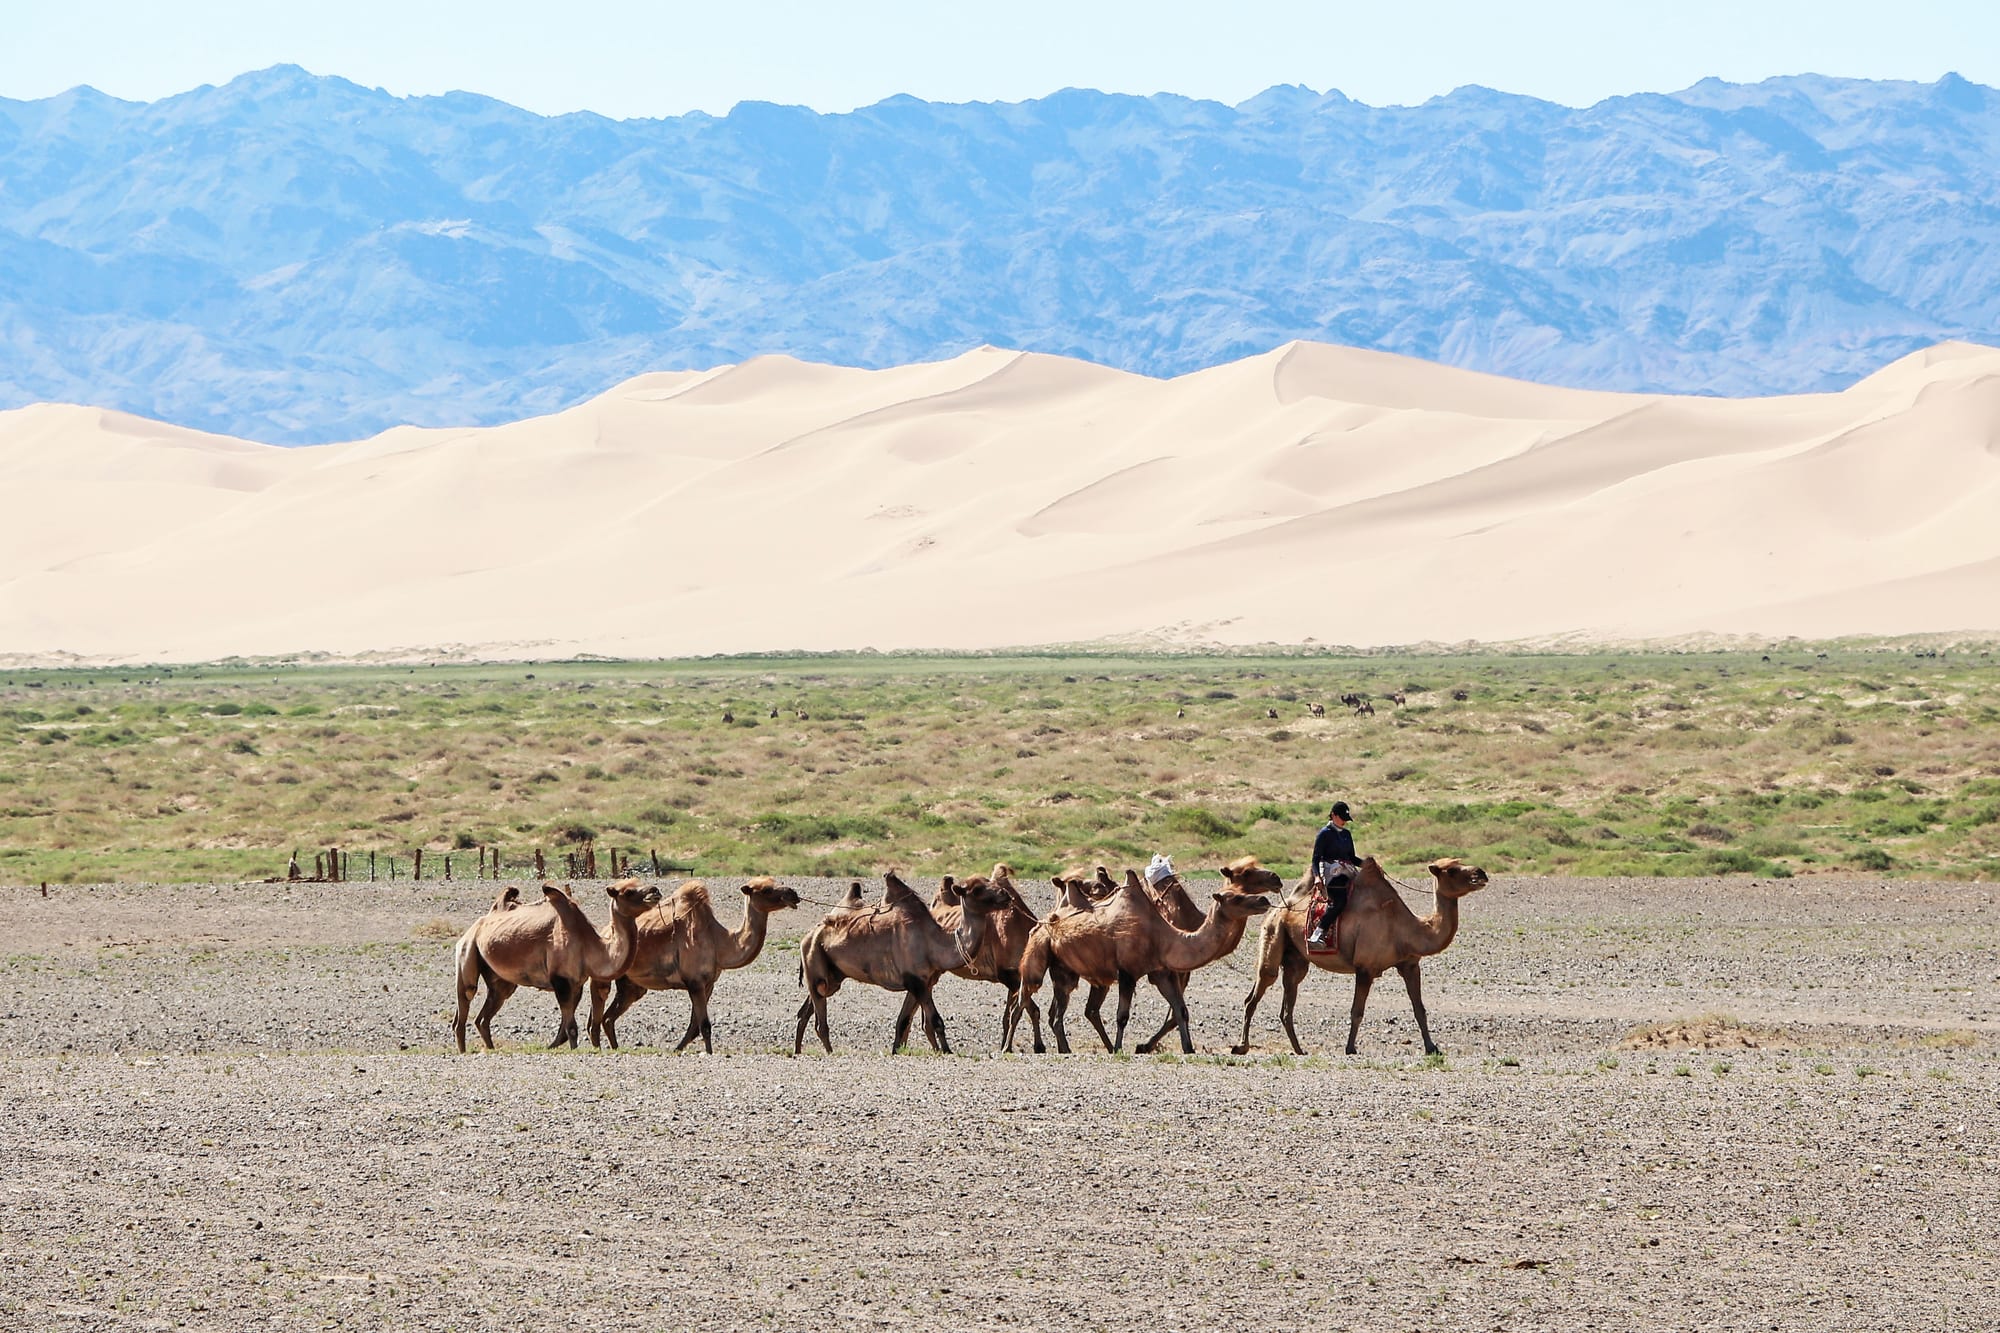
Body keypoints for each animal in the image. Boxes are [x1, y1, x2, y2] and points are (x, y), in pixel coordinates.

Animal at [452, 879, 661, 1052]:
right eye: (628, 892)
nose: (655, 891)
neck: (588, 945)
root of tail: (478, 925)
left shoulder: (576, 984)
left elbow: (564, 1031)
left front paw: (551, 1047)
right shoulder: (561, 981)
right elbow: (571, 1028)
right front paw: (572, 1051)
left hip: (500, 979)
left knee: (486, 1014)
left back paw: (491, 1048)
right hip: (467, 950)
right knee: (466, 998)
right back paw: (463, 1051)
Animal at [589, 876, 802, 1051]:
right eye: (766, 889)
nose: (793, 893)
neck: (719, 943)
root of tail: (604, 933)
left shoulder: (708, 984)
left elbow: (694, 1027)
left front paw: (677, 1050)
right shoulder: (695, 982)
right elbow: (704, 1026)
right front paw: (707, 1053)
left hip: (630, 984)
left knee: (608, 1017)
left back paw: (615, 1048)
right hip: (605, 976)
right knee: (597, 1017)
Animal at [793, 871, 1014, 1054]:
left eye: (989, 881)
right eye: (977, 890)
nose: (1006, 895)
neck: (932, 944)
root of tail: (809, 935)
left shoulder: (920, 982)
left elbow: (903, 1022)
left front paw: (896, 1051)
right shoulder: (916, 982)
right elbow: (936, 1020)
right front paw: (947, 1051)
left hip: (833, 976)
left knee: (806, 1011)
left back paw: (797, 1051)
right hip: (815, 963)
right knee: (820, 1019)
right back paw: (829, 1052)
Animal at [1010, 858, 1278, 1055]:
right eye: (1236, 897)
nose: (1264, 899)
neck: (1164, 935)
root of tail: (1045, 920)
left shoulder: (1161, 973)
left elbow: (1180, 1010)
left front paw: (1188, 1048)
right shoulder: (1128, 972)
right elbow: (1122, 1016)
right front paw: (1121, 1048)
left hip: (1065, 969)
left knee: (1059, 1010)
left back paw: (1066, 1049)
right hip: (1039, 952)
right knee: (1026, 997)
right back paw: (1010, 1047)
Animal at [1232, 857, 1488, 1057]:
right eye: (1452, 870)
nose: (1481, 873)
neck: (1405, 929)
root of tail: (1281, 908)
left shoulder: (1410, 965)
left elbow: (1419, 1009)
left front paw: (1432, 1047)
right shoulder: (1365, 968)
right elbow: (1357, 1011)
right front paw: (1350, 1048)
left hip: (1296, 959)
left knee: (1288, 1001)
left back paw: (1299, 1049)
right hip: (1273, 934)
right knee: (1257, 991)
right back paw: (1241, 1047)